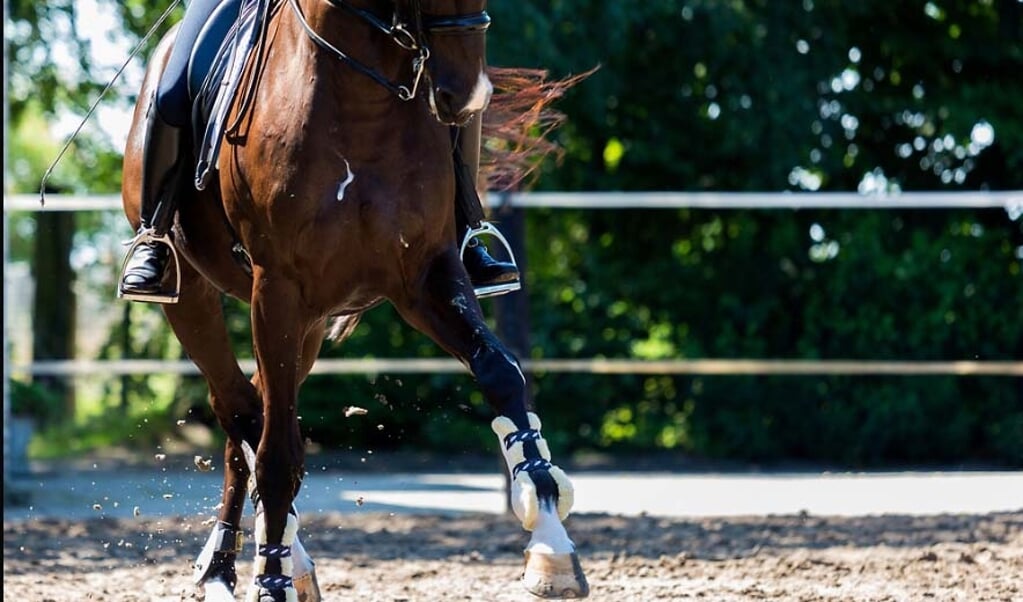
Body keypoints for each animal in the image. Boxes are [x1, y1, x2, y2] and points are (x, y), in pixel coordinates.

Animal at [119, 1, 589, 602]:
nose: (467, 95)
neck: (362, 98)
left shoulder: (426, 275)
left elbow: (500, 372)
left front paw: (551, 541)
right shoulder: (277, 288)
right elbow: (277, 455)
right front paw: (272, 579)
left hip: (311, 326)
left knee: (249, 414)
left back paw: (257, 557)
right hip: (196, 297)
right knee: (240, 411)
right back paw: (241, 563)